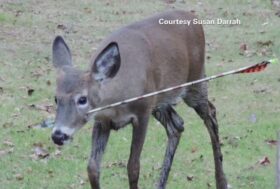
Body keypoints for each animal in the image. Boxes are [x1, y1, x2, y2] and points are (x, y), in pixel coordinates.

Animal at [50, 10, 228, 189]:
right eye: (56, 99)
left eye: (82, 99)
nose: (58, 135)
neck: (116, 105)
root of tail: (193, 17)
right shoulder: (102, 120)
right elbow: (92, 168)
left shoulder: (142, 112)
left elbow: (133, 167)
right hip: (160, 100)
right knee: (177, 124)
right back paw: (160, 184)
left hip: (195, 81)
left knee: (211, 114)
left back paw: (222, 181)